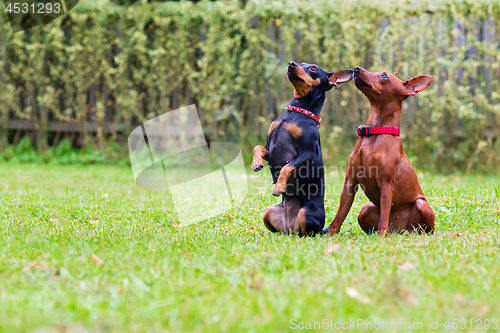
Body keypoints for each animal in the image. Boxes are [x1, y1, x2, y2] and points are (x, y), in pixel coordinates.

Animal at [252, 61, 354, 235]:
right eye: (302, 63)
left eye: (313, 68)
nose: (291, 63)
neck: (297, 112)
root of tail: (289, 228)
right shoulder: (269, 146)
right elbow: (257, 147)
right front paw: (256, 163)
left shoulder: (308, 153)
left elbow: (286, 167)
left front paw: (279, 186)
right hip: (268, 212)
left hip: (305, 213)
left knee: (308, 234)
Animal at [326, 66, 436, 235]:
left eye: (384, 76)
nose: (356, 68)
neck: (374, 133)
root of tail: (397, 229)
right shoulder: (349, 184)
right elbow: (339, 217)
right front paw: (330, 236)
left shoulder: (386, 184)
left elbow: (384, 215)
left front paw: (380, 236)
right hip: (365, 209)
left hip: (422, 206)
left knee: (423, 229)